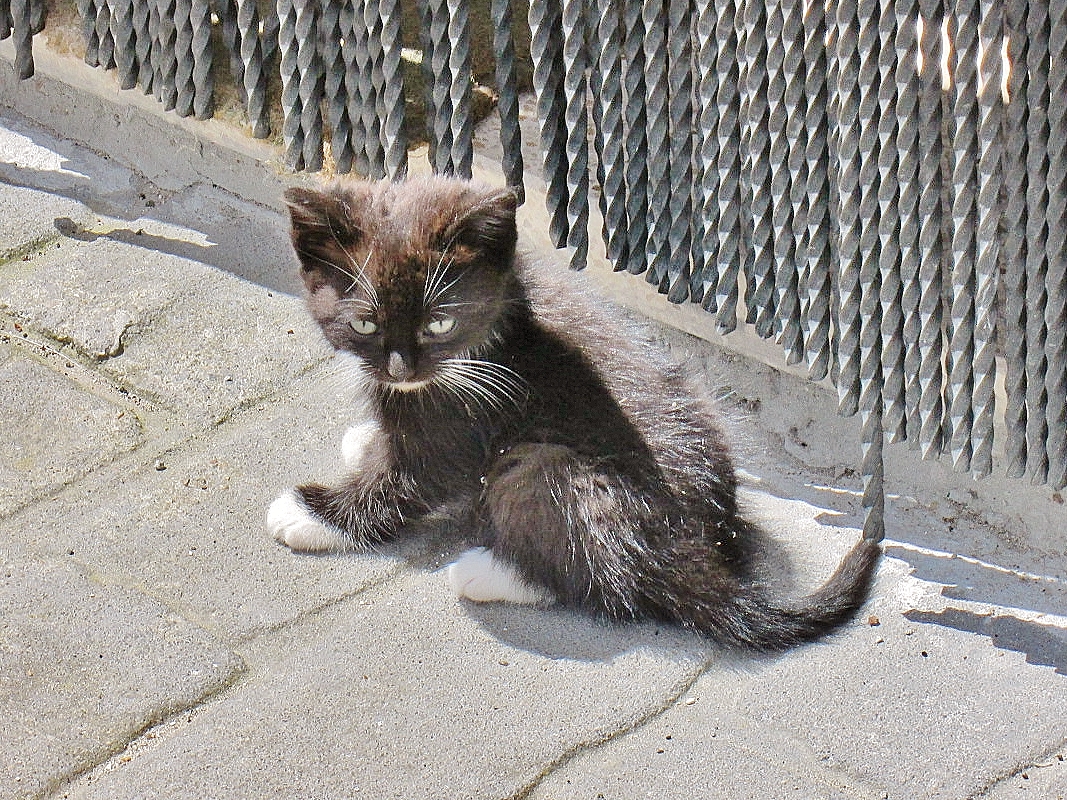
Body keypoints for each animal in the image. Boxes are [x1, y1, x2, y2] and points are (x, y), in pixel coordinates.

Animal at [262, 173, 879, 652]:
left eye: (439, 323)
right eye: (364, 323)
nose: (399, 369)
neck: (494, 332)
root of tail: (697, 550)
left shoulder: (459, 423)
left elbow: (407, 481)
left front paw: (314, 513)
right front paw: (367, 439)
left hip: (545, 465)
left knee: (601, 575)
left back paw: (490, 569)